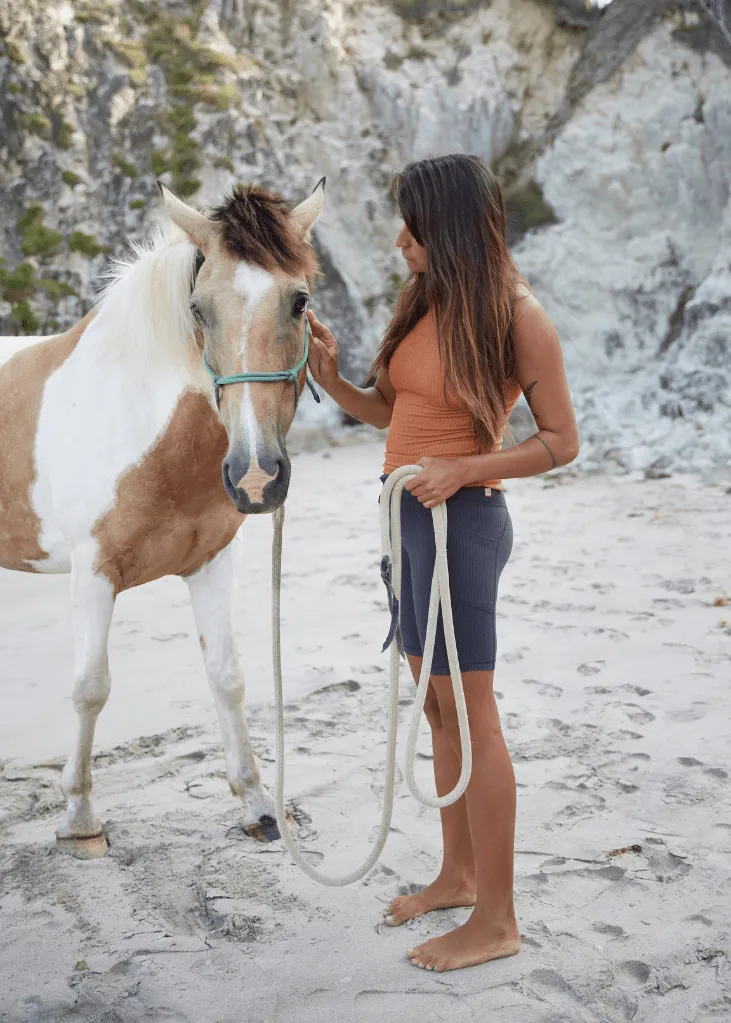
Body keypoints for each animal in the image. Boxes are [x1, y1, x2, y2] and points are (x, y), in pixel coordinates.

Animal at [0, 180, 325, 859]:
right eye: (199, 309)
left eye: (299, 300)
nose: (256, 477)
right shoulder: (93, 573)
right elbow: (90, 687)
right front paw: (80, 819)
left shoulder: (211, 563)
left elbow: (227, 677)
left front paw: (258, 806)